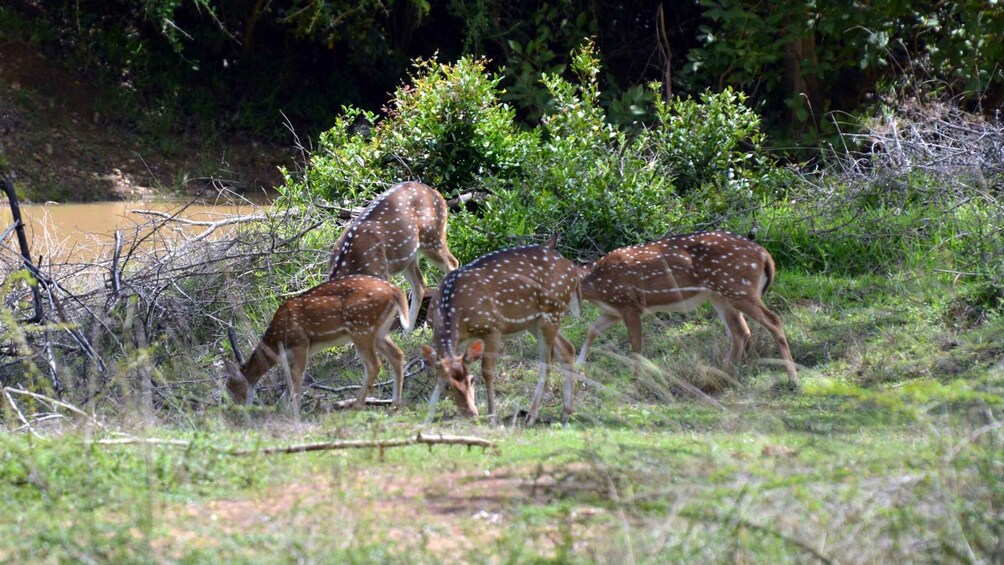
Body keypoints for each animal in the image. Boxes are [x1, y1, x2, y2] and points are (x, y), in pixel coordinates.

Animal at [225, 274, 409, 415]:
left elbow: (297, 377)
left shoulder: (300, 342)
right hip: (380, 331)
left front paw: (294, 411)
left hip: (360, 326)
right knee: (397, 354)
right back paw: (394, 405)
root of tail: (395, 291)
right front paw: (282, 408)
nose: (235, 411)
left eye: (231, 388)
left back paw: (356, 405)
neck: (276, 341)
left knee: (374, 364)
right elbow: (289, 379)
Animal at [329, 181, 459, 331]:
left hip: (432, 236)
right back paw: (407, 332)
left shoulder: (380, 273)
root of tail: (437, 193)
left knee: (452, 263)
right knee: (420, 283)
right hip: (408, 256)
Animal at [421, 234, 582, 425]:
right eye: (448, 385)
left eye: (472, 380)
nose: (472, 413)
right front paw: (425, 421)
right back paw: (566, 413)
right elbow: (438, 374)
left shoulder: (493, 327)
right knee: (567, 348)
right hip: (535, 322)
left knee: (547, 362)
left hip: (552, 311)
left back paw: (531, 416)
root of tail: (573, 268)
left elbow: (487, 371)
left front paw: (492, 417)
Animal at [574, 229, 799, 385]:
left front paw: (637, 380)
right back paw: (725, 375)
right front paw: (578, 367)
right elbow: (591, 330)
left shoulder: (629, 304)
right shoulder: (613, 311)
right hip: (721, 295)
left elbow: (636, 345)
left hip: (738, 288)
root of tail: (764, 254)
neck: (596, 285)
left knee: (773, 321)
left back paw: (792, 378)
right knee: (740, 331)